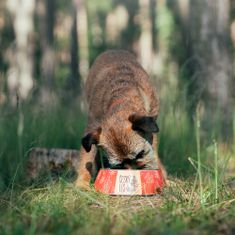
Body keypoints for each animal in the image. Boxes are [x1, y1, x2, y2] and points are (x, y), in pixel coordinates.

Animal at [76, 50, 164, 189]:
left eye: (140, 154)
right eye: (118, 165)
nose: (133, 173)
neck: (123, 98)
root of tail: (113, 50)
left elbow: (153, 149)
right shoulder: (92, 127)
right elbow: (87, 156)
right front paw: (82, 182)